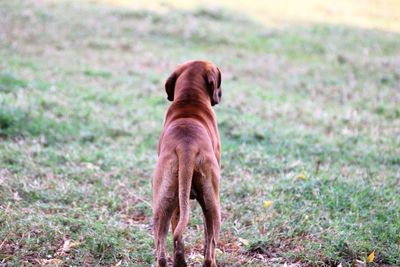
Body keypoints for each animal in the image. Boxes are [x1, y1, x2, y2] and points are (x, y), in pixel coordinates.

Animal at [152, 60, 222, 267]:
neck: (189, 101)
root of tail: (186, 146)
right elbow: (207, 238)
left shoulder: (177, 204)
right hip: (213, 206)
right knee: (209, 252)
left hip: (163, 203)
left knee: (163, 250)